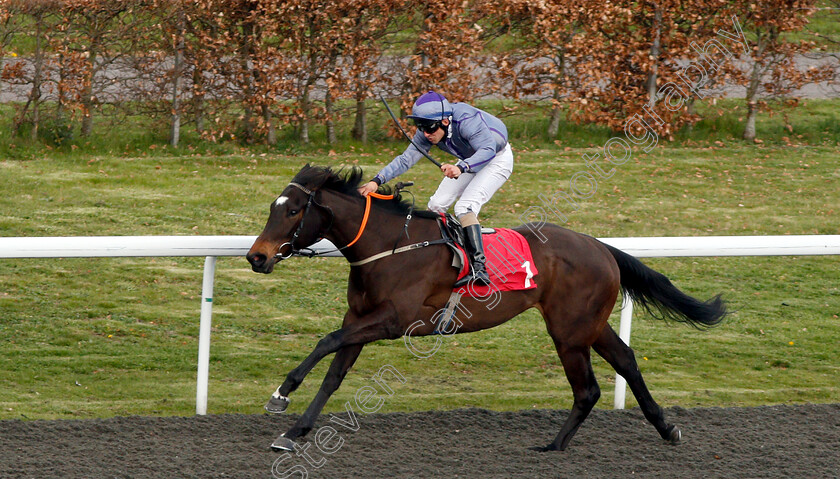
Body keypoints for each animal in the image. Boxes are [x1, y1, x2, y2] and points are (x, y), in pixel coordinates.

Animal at [246, 165, 724, 454]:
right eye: (272, 207)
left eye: (293, 210)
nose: (256, 257)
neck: (389, 246)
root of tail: (602, 247)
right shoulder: (359, 319)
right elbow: (334, 373)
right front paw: (293, 432)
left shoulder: (392, 321)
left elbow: (326, 342)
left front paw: (280, 395)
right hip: (588, 323)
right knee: (625, 361)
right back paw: (666, 428)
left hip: (570, 331)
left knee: (588, 388)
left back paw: (554, 446)